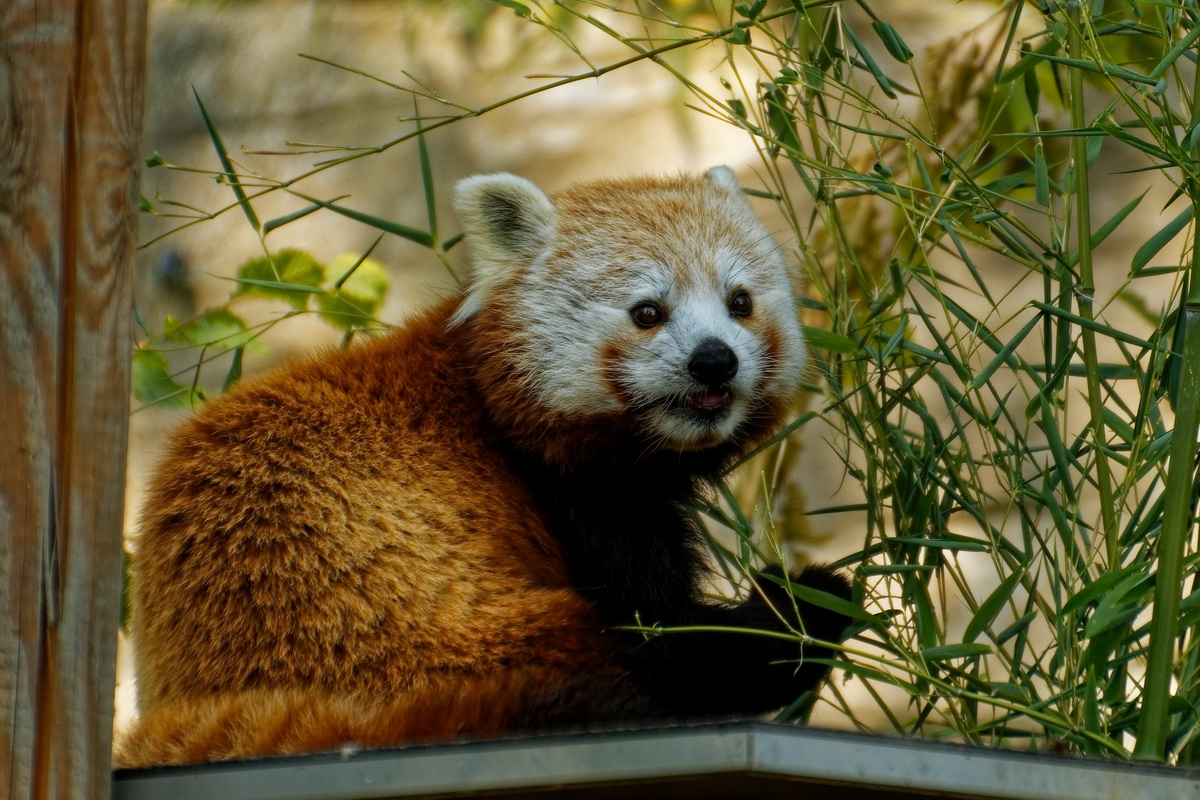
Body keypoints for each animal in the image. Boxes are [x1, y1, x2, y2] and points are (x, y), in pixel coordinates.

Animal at [114, 167, 854, 767]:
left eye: (740, 302)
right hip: (422, 632)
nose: (714, 361)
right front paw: (790, 607)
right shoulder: (581, 504)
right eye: (648, 312)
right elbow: (664, 629)